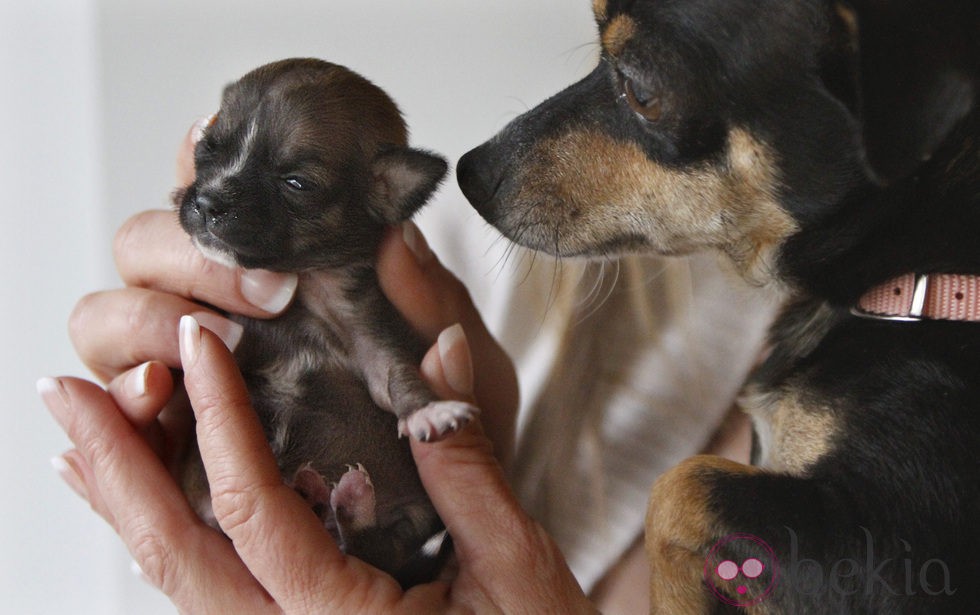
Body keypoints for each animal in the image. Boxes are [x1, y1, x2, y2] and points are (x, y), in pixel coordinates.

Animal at [174, 60, 476, 588]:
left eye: (296, 183)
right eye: (208, 147)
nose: (207, 203)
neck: (305, 286)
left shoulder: (370, 331)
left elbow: (397, 377)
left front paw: (428, 412)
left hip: (406, 523)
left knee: (371, 548)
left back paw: (346, 502)